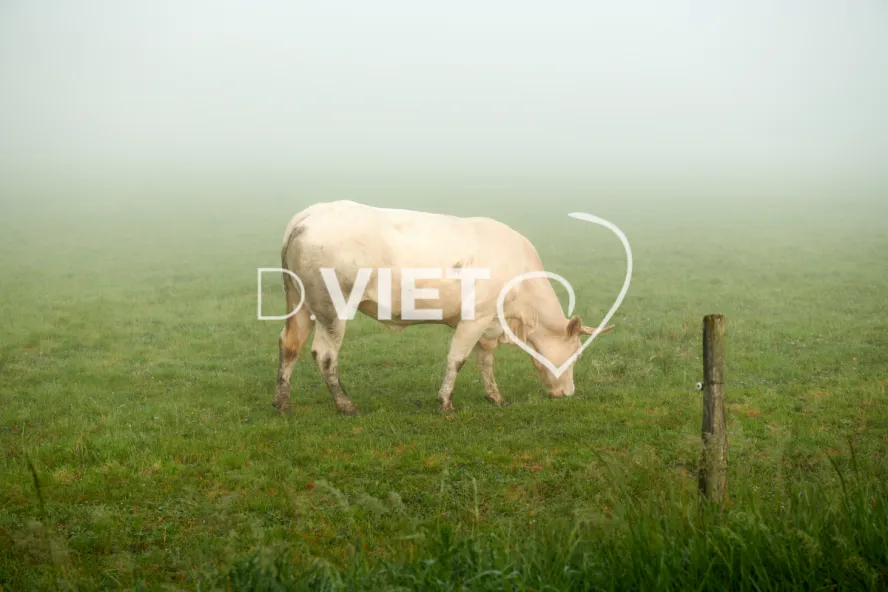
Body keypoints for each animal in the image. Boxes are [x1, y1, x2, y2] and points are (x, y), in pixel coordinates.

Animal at [273, 200, 613, 415]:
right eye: (577, 354)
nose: (568, 394)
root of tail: (308, 216)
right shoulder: (475, 318)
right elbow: (457, 359)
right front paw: (446, 402)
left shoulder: (488, 324)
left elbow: (485, 363)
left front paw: (495, 397)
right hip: (333, 306)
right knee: (325, 355)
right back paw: (346, 405)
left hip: (301, 303)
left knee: (289, 345)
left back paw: (283, 403)